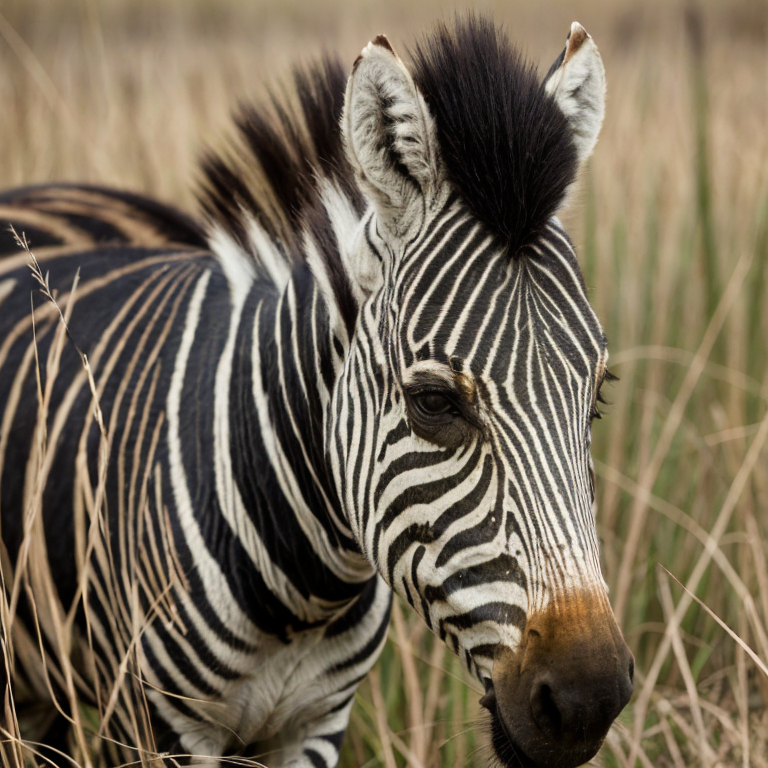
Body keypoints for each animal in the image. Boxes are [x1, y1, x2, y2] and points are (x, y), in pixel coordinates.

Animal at [0, 15, 633, 768]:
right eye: (434, 404)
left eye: (597, 397)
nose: (586, 701)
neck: (308, 590)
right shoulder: (161, 720)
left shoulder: (316, 722)